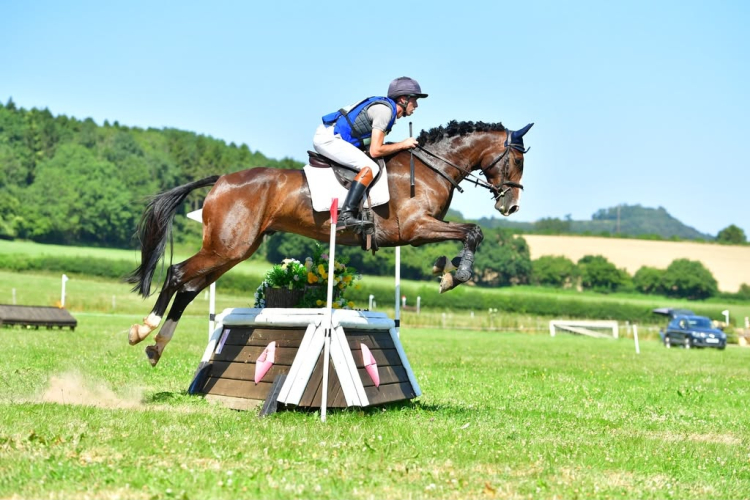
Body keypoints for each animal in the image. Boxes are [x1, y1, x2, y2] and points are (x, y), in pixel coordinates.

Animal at [126, 120, 533, 366]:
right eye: (516, 160)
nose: (511, 205)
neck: (432, 167)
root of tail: (222, 179)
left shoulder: (424, 229)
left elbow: (469, 232)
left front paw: (445, 269)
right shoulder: (415, 228)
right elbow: (473, 231)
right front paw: (454, 275)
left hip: (235, 250)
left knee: (190, 286)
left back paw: (156, 346)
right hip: (227, 247)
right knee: (178, 275)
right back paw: (142, 330)